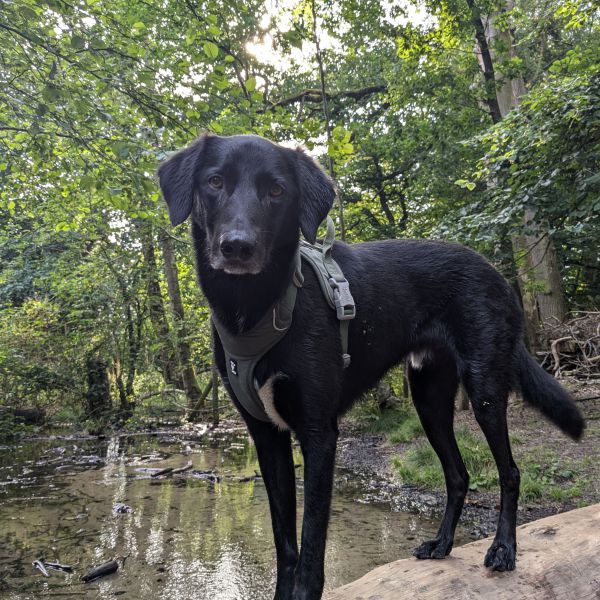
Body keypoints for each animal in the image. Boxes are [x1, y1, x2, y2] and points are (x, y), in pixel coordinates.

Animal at [157, 134, 584, 596]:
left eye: (277, 190)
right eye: (215, 181)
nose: (237, 246)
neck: (255, 309)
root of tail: (497, 274)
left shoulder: (319, 435)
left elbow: (311, 546)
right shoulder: (267, 437)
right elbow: (285, 544)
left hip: (484, 388)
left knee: (510, 471)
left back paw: (503, 549)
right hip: (429, 400)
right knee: (457, 475)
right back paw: (442, 544)